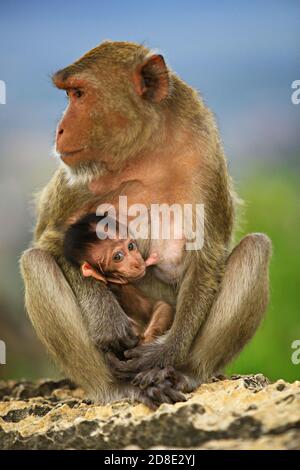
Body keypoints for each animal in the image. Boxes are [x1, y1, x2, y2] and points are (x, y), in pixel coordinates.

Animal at [64, 215, 175, 344]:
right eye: (118, 257)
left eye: (131, 246)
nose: (138, 263)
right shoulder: (127, 290)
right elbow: (162, 305)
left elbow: (161, 306)